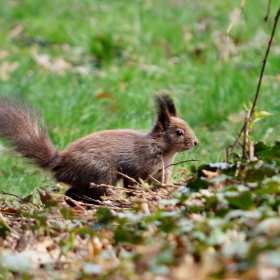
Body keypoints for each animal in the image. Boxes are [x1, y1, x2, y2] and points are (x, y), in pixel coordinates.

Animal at [0, 94, 198, 203]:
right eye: (179, 132)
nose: (195, 142)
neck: (164, 151)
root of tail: (60, 163)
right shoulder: (138, 168)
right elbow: (133, 185)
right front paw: (136, 196)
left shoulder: (161, 173)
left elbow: (160, 185)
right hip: (100, 173)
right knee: (96, 191)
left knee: (72, 193)